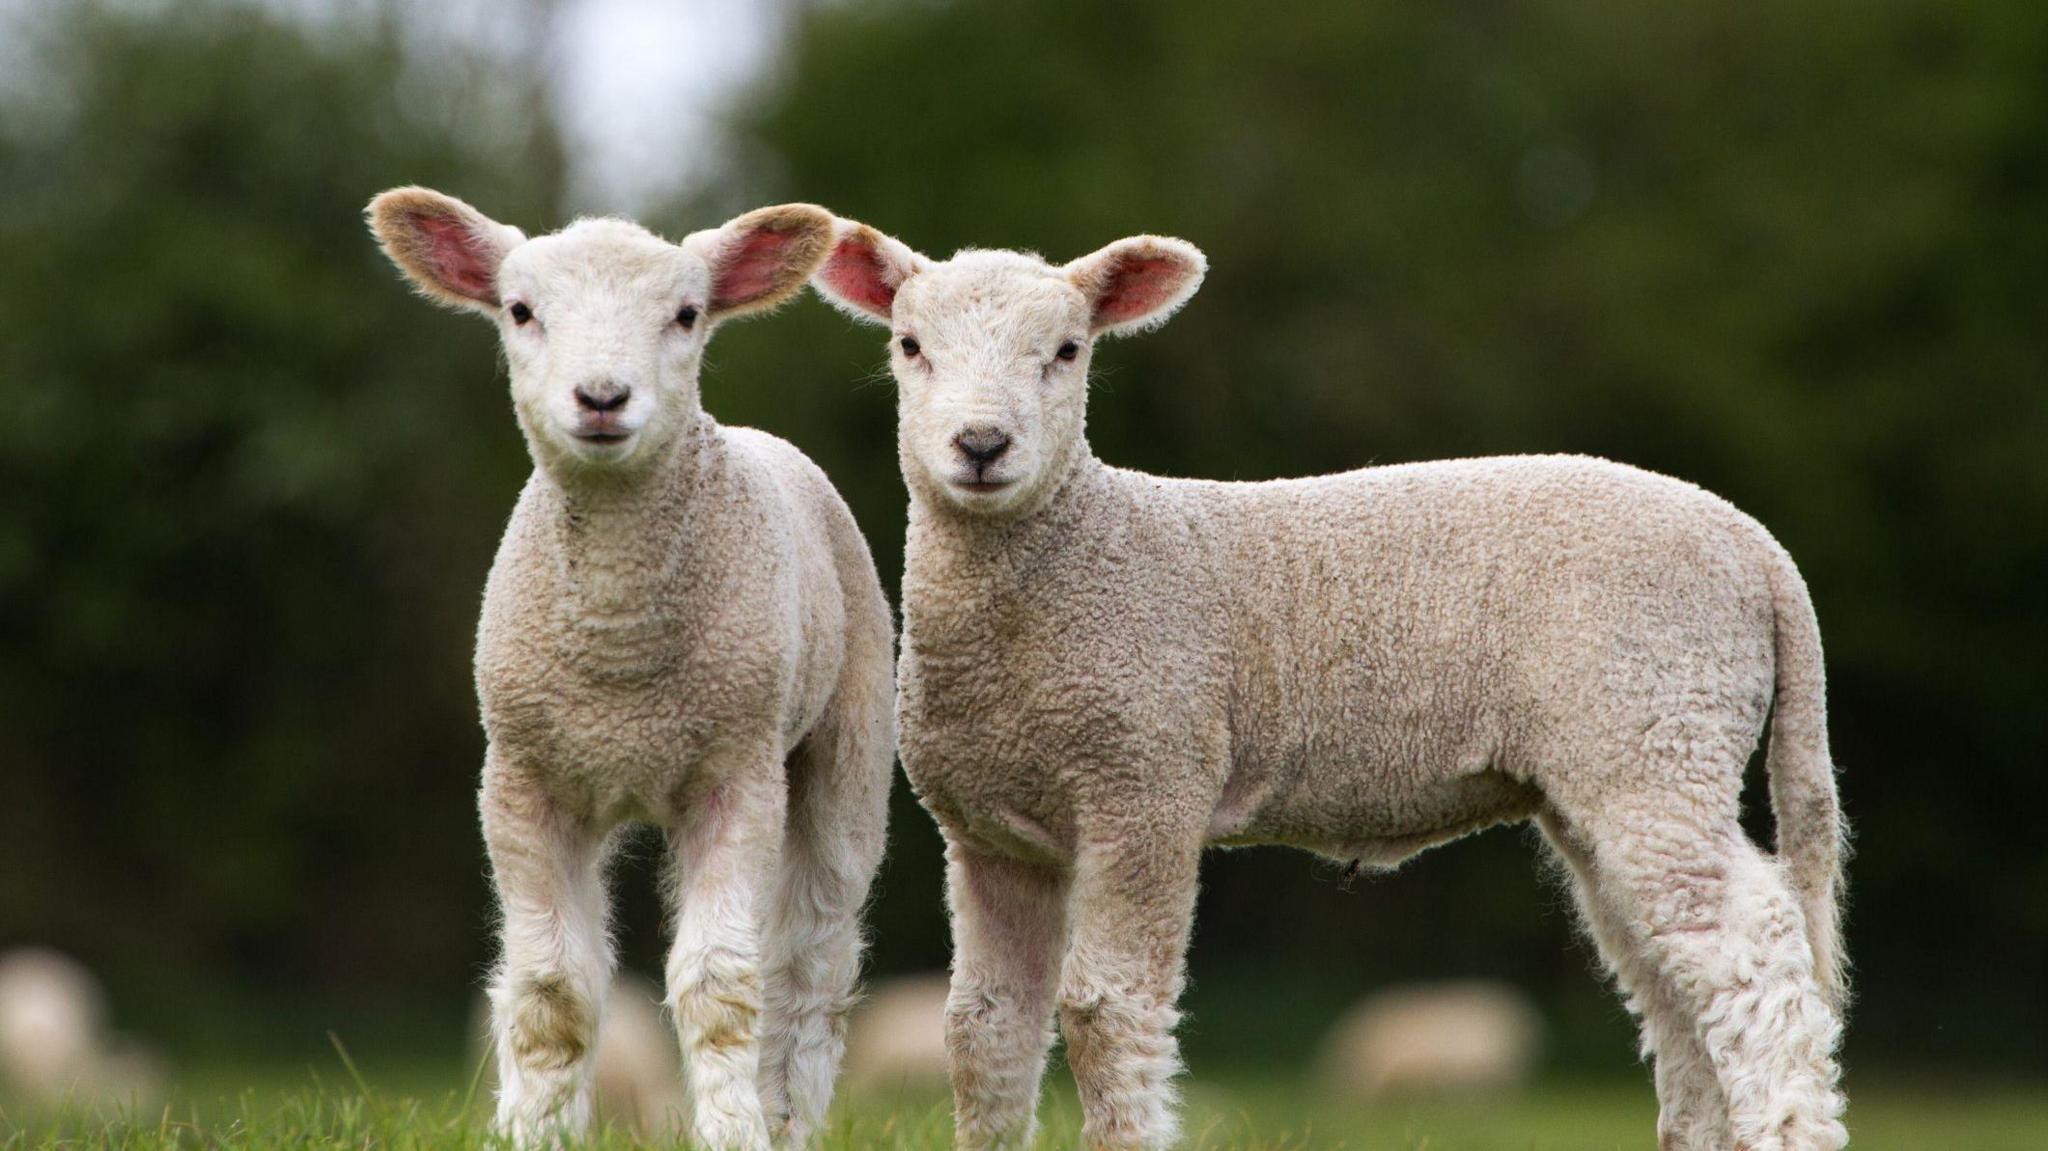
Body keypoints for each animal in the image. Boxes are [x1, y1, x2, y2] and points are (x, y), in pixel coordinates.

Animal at [364, 190, 892, 1146]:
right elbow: (551, 990)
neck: (620, 653)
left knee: (812, 966)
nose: (603, 397)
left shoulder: (736, 773)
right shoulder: (524, 780)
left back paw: (785, 1113)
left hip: (848, 739)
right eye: (520, 310)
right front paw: (534, 1130)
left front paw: (732, 1131)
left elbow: (721, 983)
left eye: (685, 315)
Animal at [815, 224, 1859, 1146]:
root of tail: (1757, 549)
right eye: (910, 345)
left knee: (1755, 953)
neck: (1078, 555)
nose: (981, 445)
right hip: (1617, 762)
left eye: (1069, 351)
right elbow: (983, 1031)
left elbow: (1105, 1012)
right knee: (1672, 980)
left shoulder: (1145, 784)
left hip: (1656, 721)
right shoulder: (990, 835)